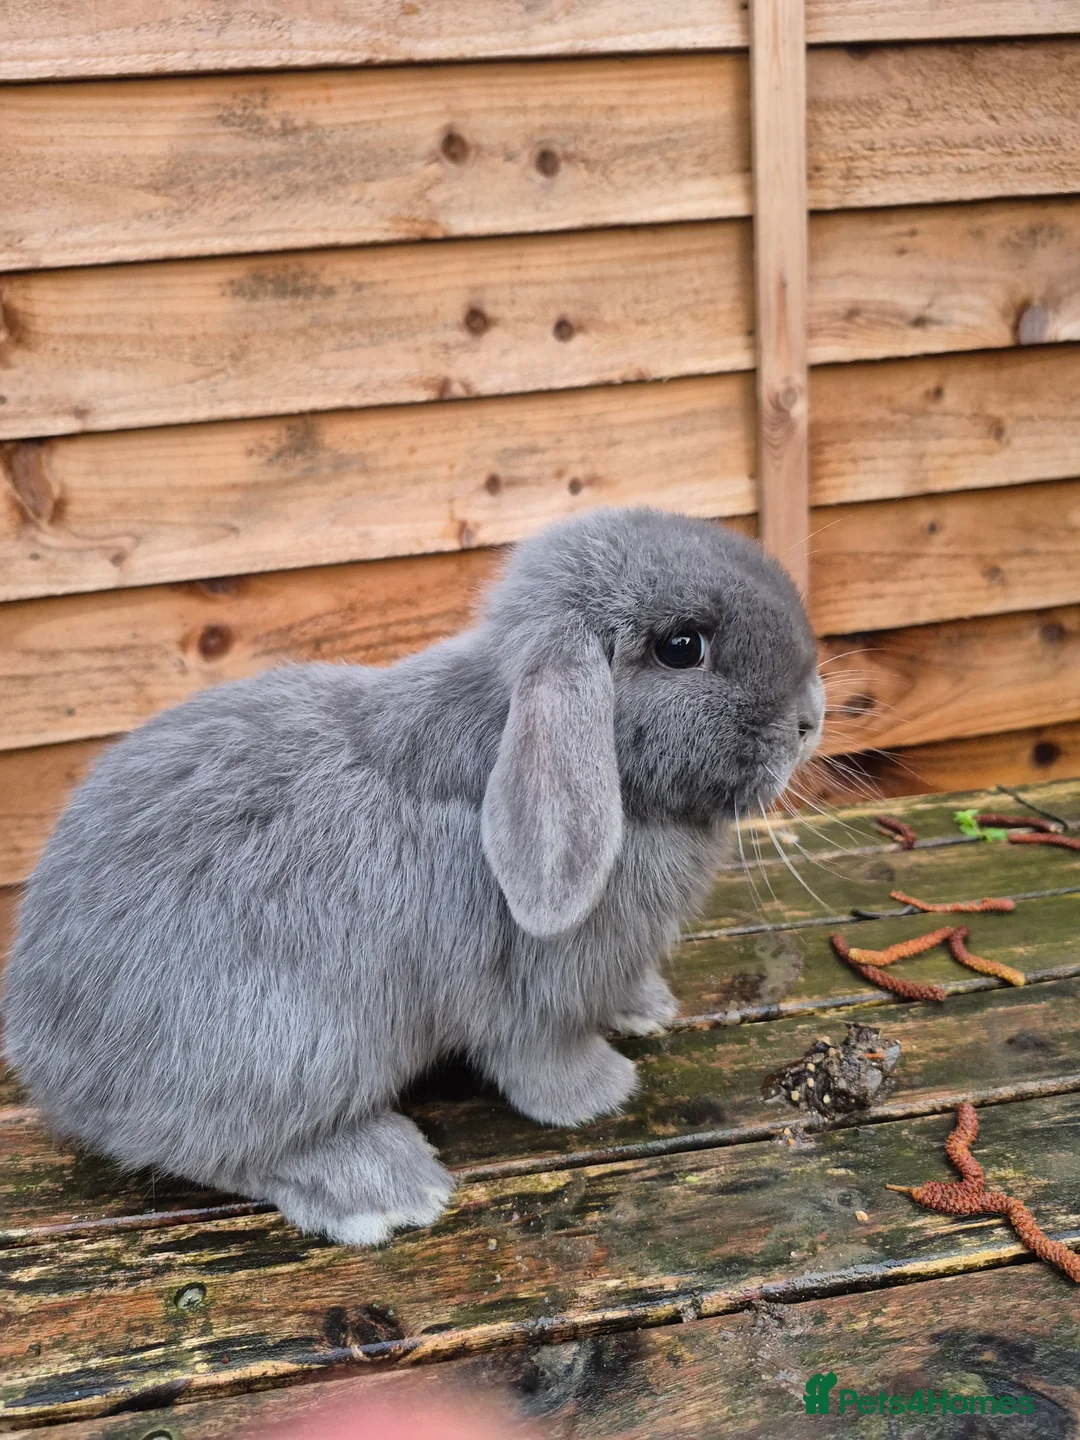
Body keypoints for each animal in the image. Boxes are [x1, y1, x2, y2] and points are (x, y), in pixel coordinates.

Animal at [2, 506, 824, 1246]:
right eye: (682, 647)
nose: (810, 718)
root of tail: (54, 1066)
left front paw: (646, 1007)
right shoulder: (527, 996)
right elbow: (540, 1058)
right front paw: (600, 1093)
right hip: (288, 1044)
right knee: (227, 1148)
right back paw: (385, 1185)